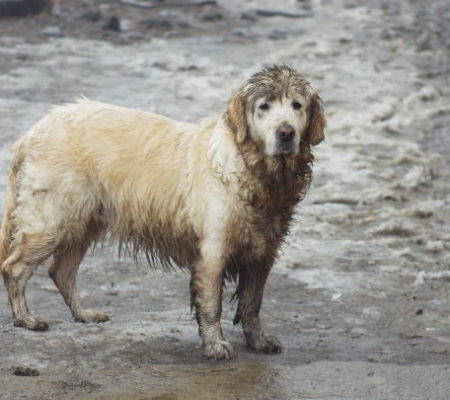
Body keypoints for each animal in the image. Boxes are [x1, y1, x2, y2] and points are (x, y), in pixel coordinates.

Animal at [0, 65, 326, 360]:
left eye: (297, 105)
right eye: (263, 107)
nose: (285, 133)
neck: (254, 170)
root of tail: (34, 131)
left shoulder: (263, 251)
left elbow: (252, 301)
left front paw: (258, 340)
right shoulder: (213, 250)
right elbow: (212, 302)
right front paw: (215, 345)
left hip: (85, 219)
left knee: (61, 270)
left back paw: (84, 313)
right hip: (52, 220)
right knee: (14, 267)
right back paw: (26, 319)